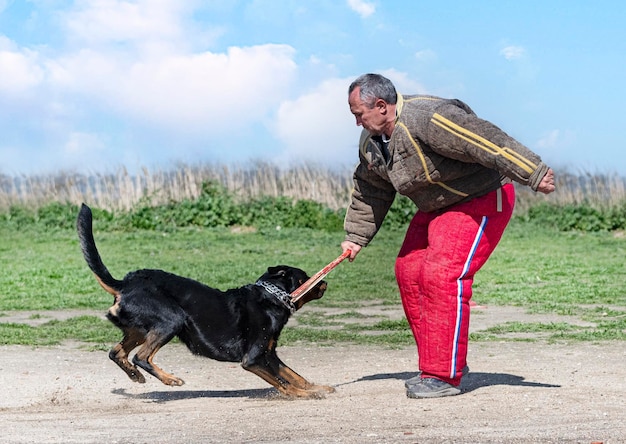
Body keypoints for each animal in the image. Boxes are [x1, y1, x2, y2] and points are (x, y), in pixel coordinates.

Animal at [76, 203, 334, 398]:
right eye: (306, 277)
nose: (324, 283)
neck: (271, 298)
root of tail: (124, 284)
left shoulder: (269, 354)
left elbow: (294, 375)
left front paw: (316, 387)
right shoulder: (254, 358)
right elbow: (283, 381)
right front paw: (304, 394)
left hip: (139, 329)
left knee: (116, 353)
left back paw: (134, 374)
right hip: (171, 320)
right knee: (141, 357)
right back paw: (170, 379)